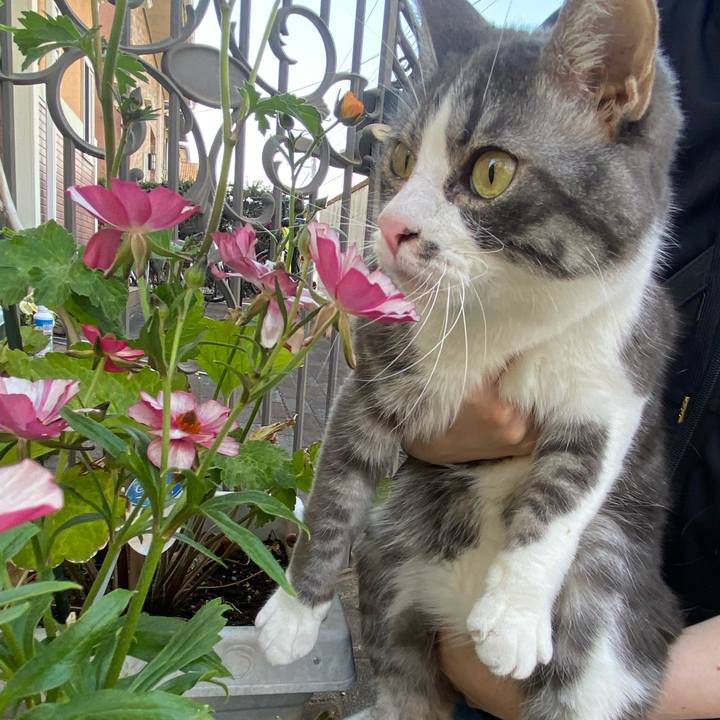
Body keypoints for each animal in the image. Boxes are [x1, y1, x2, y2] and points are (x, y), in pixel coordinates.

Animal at [256, 0, 684, 717]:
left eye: (491, 171)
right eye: (401, 159)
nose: (391, 226)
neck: (496, 312)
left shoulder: (621, 372)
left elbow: (568, 493)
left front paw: (513, 618)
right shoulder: (377, 367)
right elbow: (338, 484)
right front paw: (293, 611)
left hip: (612, 607)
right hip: (392, 557)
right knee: (405, 681)